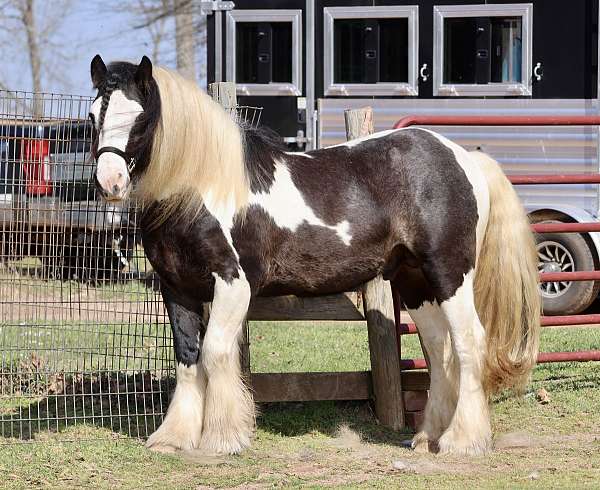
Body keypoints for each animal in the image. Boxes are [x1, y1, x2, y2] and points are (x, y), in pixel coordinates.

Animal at [90, 55, 544, 458]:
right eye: (95, 114)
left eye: (140, 117)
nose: (109, 182)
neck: (202, 188)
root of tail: (465, 157)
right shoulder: (177, 288)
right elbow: (187, 358)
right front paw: (174, 438)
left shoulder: (234, 284)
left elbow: (215, 352)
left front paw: (223, 438)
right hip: (415, 281)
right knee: (439, 348)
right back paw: (427, 437)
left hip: (449, 274)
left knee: (469, 341)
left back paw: (462, 441)